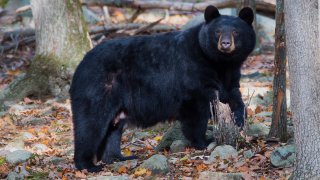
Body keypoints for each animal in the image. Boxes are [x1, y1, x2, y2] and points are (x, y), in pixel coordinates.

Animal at [69, 5, 255, 172]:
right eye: (217, 31)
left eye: (236, 31)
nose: (225, 44)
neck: (219, 63)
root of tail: (80, 65)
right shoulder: (193, 72)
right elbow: (196, 111)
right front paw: (204, 141)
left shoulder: (231, 76)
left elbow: (234, 98)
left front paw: (239, 123)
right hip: (100, 87)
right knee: (91, 124)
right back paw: (88, 165)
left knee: (113, 128)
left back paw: (118, 158)